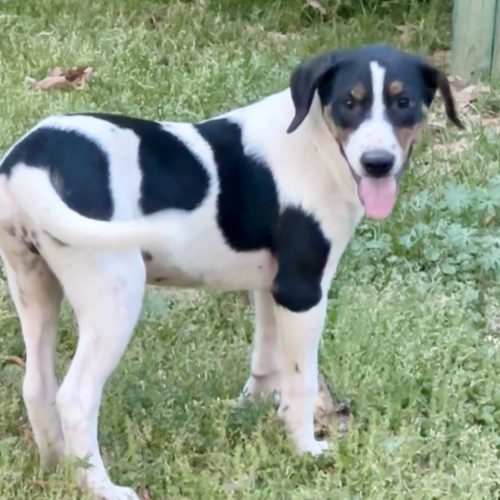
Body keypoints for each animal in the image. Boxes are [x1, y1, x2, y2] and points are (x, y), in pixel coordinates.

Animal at [0, 44, 462, 499]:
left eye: (404, 102)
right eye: (351, 102)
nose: (377, 163)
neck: (316, 143)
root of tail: (29, 162)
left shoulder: (269, 285)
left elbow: (266, 359)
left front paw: (249, 411)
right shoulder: (301, 290)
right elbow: (301, 380)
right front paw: (305, 448)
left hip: (33, 285)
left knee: (37, 386)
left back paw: (57, 466)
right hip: (114, 294)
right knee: (76, 397)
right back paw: (100, 486)